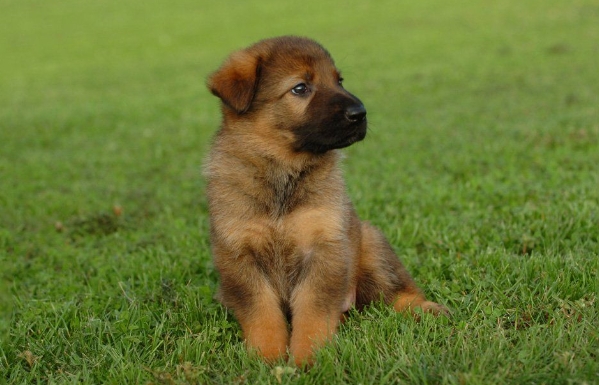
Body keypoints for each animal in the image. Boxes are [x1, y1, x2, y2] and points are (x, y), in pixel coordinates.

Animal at [205, 36, 446, 366]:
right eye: (300, 88)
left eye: (339, 80)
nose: (360, 112)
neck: (284, 172)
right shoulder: (239, 255)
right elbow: (261, 311)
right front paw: (267, 357)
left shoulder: (325, 246)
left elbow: (313, 310)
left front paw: (309, 357)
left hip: (371, 245)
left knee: (396, 292)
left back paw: (427, 309)